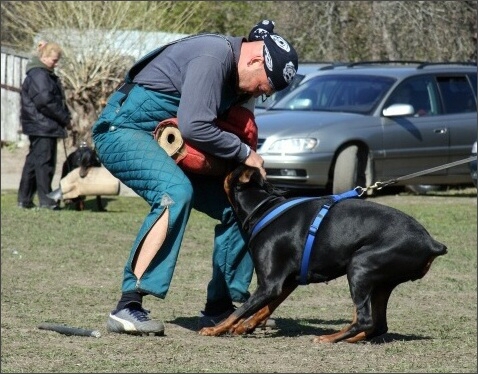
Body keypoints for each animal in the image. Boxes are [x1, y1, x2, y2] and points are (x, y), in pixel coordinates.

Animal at [199, 165, 448, 344]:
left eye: (231, 168)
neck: (264, 207)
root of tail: (431, 243)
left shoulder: (270, 284)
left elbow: (241, 310)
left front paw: (215, 329)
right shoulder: (288, 281)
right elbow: (264, 308)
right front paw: (244, 326)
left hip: (360, 267)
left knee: (365, 319)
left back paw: (330, 337)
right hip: (382, 283)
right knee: (377, 324)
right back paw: (351, 338)